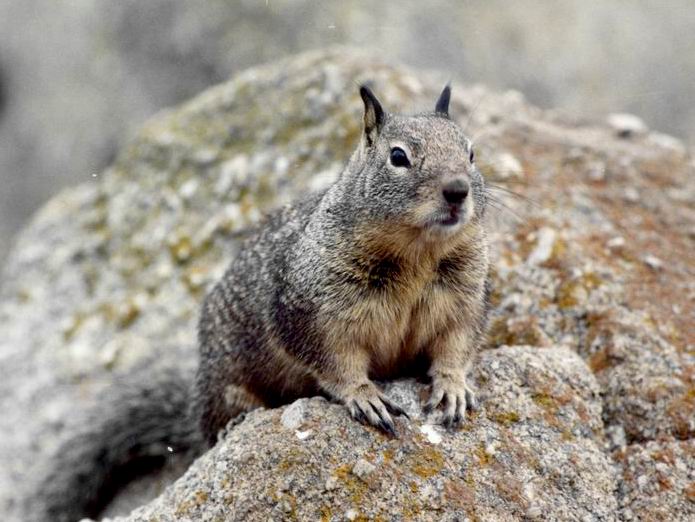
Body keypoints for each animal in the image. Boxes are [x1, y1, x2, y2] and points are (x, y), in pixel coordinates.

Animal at [31, 83, 490, 516]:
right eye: (398, 157)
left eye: (471, 153)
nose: (457, 191)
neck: (417, 256)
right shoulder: (311, 312)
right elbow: (335, 361)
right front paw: (365, 395)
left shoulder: (465, 302)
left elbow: (456, 346)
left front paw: (452, 386)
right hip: (228, 380)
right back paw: (234, 424)